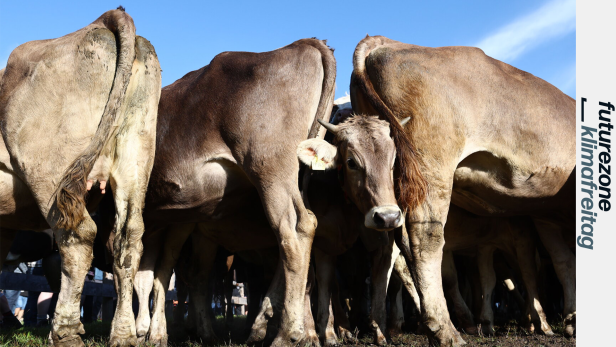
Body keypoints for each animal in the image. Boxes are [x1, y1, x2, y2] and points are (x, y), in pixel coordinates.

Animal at [0, 8, 161, 347]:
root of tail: (103, 20)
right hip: (135, 152)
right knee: (128, 240)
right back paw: (124, 334)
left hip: (50, 170)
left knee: (77, 237)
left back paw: (65, 331)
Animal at [352, 34, 576, 346]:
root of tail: (385, 42)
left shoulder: (544, 216)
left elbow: (563, 262)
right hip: (431, 167)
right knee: (425, 240)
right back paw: (445, 329)